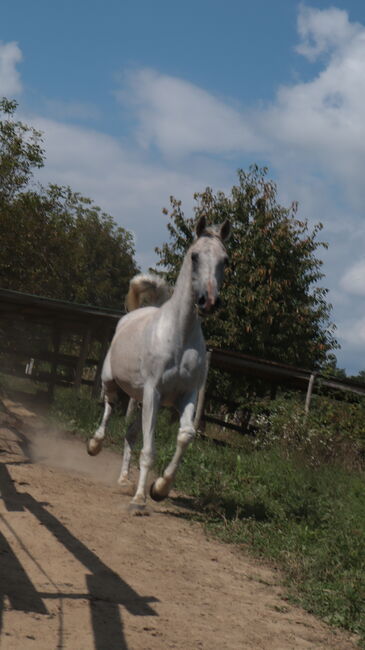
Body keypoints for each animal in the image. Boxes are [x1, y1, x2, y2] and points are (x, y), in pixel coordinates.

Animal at [86, 216, 229, 512]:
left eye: (225, 260)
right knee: (109, 408)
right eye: (195, 256)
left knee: (129, 433)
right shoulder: (154, 392)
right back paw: (94, 445)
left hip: (139, 399)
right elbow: (149, 449)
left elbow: (185, 435)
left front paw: (160, 488)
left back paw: (124, 480)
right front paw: (140, 500)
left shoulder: (186, 394)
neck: (179, 336)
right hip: (112, 383)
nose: (208, 301)